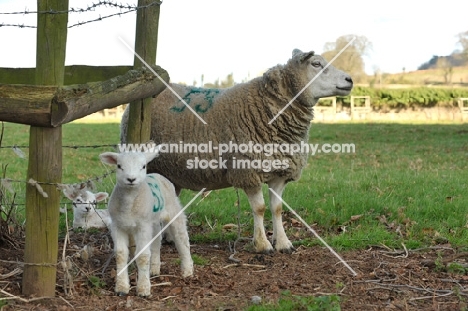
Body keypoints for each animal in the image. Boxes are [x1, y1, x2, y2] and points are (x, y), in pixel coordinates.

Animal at [99, 152, 193, 298]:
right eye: (119, 166)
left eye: (143, 166)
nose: (131, 179)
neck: (129, 204)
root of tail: (157, 175)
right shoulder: (117, 225)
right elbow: (120, 254)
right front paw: (121, 287)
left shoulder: (143, 226)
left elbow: (142, 256)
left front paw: (143, 289)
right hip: (152, 221)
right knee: (156, 241)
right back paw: (154, 269)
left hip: (173, 210)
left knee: (182, 238)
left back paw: (187, 270)